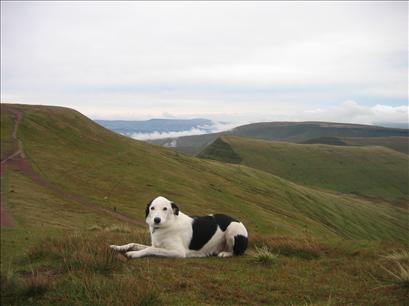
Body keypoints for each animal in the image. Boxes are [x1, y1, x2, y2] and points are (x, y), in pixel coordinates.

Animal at [110, 196, 247, 258]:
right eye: (152, 208)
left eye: (165, 208)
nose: (157, 220)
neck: (167, 225)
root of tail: (237, 220)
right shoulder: (157, 244)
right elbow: (133, 243)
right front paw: (118, 247)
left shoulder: (178, 252)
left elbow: (150, 249)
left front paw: (134, 253)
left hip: (233, 230)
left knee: (236, 252)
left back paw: (225, 253)